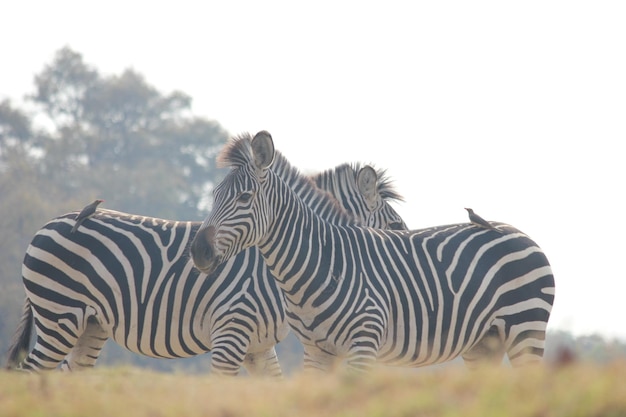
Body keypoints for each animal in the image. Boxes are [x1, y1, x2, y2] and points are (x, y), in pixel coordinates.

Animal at [6, 141, 404, 376]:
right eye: (396, 226)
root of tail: (49, 223)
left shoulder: (259, 346)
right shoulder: (231, 334)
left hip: (89, 325)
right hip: (59, 316)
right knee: (31, 374)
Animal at [191, 132, 556, 372]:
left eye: (244, 198)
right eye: (214, 195)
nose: (198, 251)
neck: (322, 263)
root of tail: (517, 232)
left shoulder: (362, 344)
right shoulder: (317, 351)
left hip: (526, 327)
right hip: (484, 342)